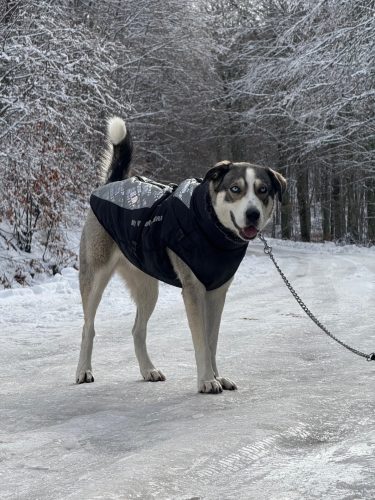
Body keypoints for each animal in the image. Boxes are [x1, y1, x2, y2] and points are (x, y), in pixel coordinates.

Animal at [77, 118, 288, 394]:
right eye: (235, 189)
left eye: (263, 190)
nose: (252, 214)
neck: (209, 225)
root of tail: (111, 184)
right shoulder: (194, 291)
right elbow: (201, 341)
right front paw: (207, 380)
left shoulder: (217, 293)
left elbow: (212, 340)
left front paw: (217, 376)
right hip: (94, 277)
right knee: (88, 328)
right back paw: (83, 371)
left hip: (147, 288)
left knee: (137, 329)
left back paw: (148, 370)